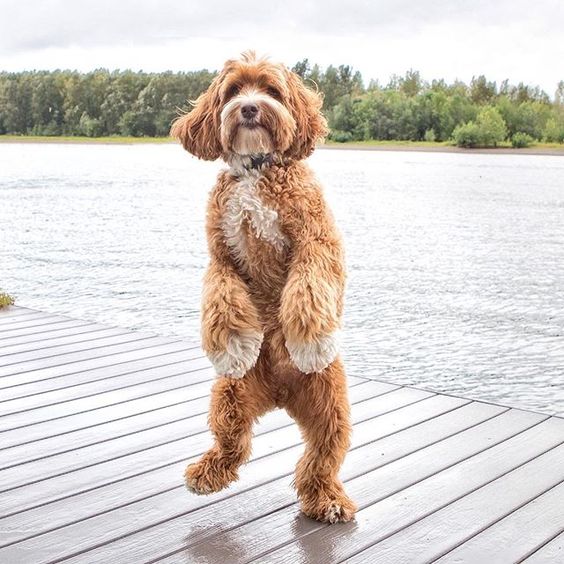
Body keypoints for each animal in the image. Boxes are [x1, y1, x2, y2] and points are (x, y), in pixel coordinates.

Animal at [172, 50, 356, 524]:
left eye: (272, 90)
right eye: (234, 90)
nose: (250, 108)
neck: (257, 170)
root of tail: (279, 393)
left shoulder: (316, 240)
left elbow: (307, 287)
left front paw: (309, 342)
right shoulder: (223, 257)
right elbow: (221, 300)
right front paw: (234, 346)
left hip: (331, 406)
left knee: (321, 457)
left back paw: (328, 500)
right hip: (230, 397)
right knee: (233, 444)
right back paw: (206, 473)